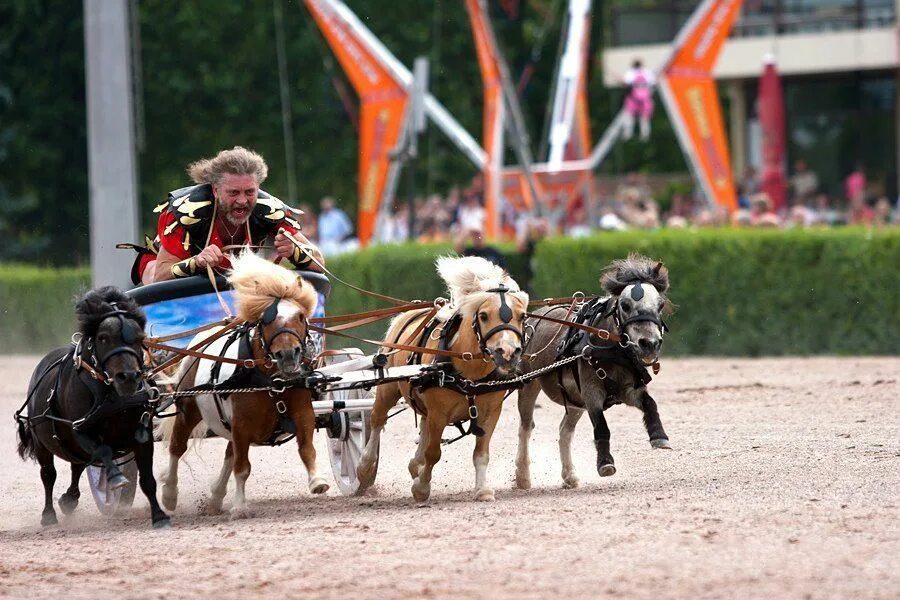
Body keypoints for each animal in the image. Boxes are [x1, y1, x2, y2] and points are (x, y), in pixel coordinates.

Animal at [14, 286, 170, 524]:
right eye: (103, 338)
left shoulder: (143, 433)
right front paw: (115, 477)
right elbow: (104, 451)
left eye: (139, 338)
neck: (112, 396)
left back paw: (69, 499)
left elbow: (147, 479)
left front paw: (159, 515)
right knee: (49, 474)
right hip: (42, 442)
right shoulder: (80, 429)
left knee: (78, 465)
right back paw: (49, 514)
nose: (129, 377)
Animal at [159, 253, 326, 516]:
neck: (273, 382)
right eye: (266, 321)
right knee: (177, 448)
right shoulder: (242, 424)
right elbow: (242, 467)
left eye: (300, 316)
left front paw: (317, 481)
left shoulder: (302, 413)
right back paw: (169, 494)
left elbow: (306, 448)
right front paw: (239, 506)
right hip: (189, 410)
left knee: (229, 453)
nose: (289, 355)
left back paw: (216, 496)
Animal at [356, 255, 532, 504]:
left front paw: (482, 489)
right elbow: (433, 453)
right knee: (377, 420)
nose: (507, 352)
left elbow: (481, 454)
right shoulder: (439, 413)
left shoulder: (490, 413)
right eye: (483, 315)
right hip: (388, 390)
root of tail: (408, 314)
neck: (470, 371)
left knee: (422, 426)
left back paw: (414, 465)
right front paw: (422, 488)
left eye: (522, 315)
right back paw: (365, 466)